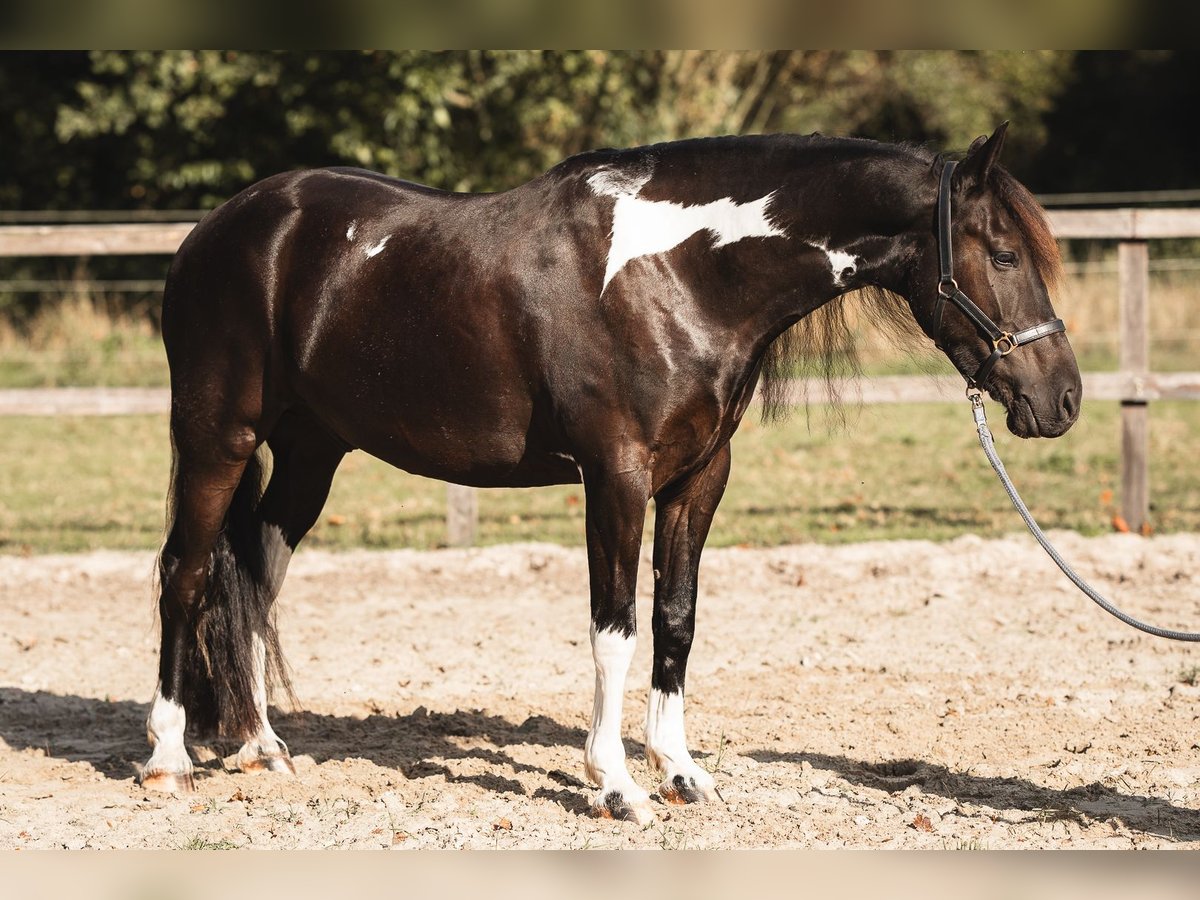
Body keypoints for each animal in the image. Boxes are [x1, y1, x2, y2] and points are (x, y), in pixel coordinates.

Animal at [138, 123, 1080, 830]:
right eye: (1002, 255)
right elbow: (615, 627)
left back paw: (263, 746)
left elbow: (675, 619)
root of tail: (215, 232)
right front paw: (617, 785)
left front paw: (681, 771)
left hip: (310, 452)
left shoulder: (699, 476)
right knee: (186, 575)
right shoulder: (615, 476)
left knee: (254, 580)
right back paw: (169, 757)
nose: (1062, 398)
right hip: (217, 437)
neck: (675, 272)